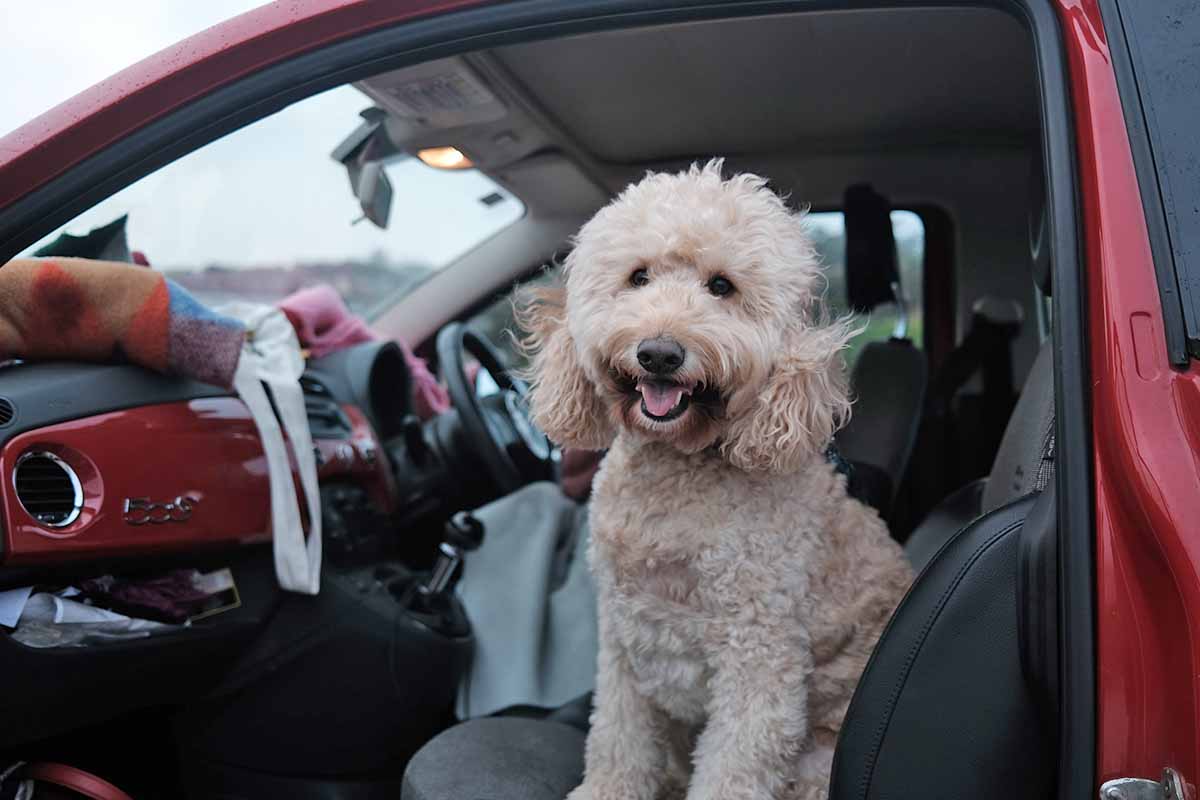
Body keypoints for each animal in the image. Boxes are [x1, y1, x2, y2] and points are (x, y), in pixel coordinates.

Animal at [520, 159, 912, 796]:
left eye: (722, 287)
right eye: (638, 276)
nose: (658, 353)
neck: (675, 470)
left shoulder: (759, 651)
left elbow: (734, 762)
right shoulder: (623, 641)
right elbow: (617, 737)